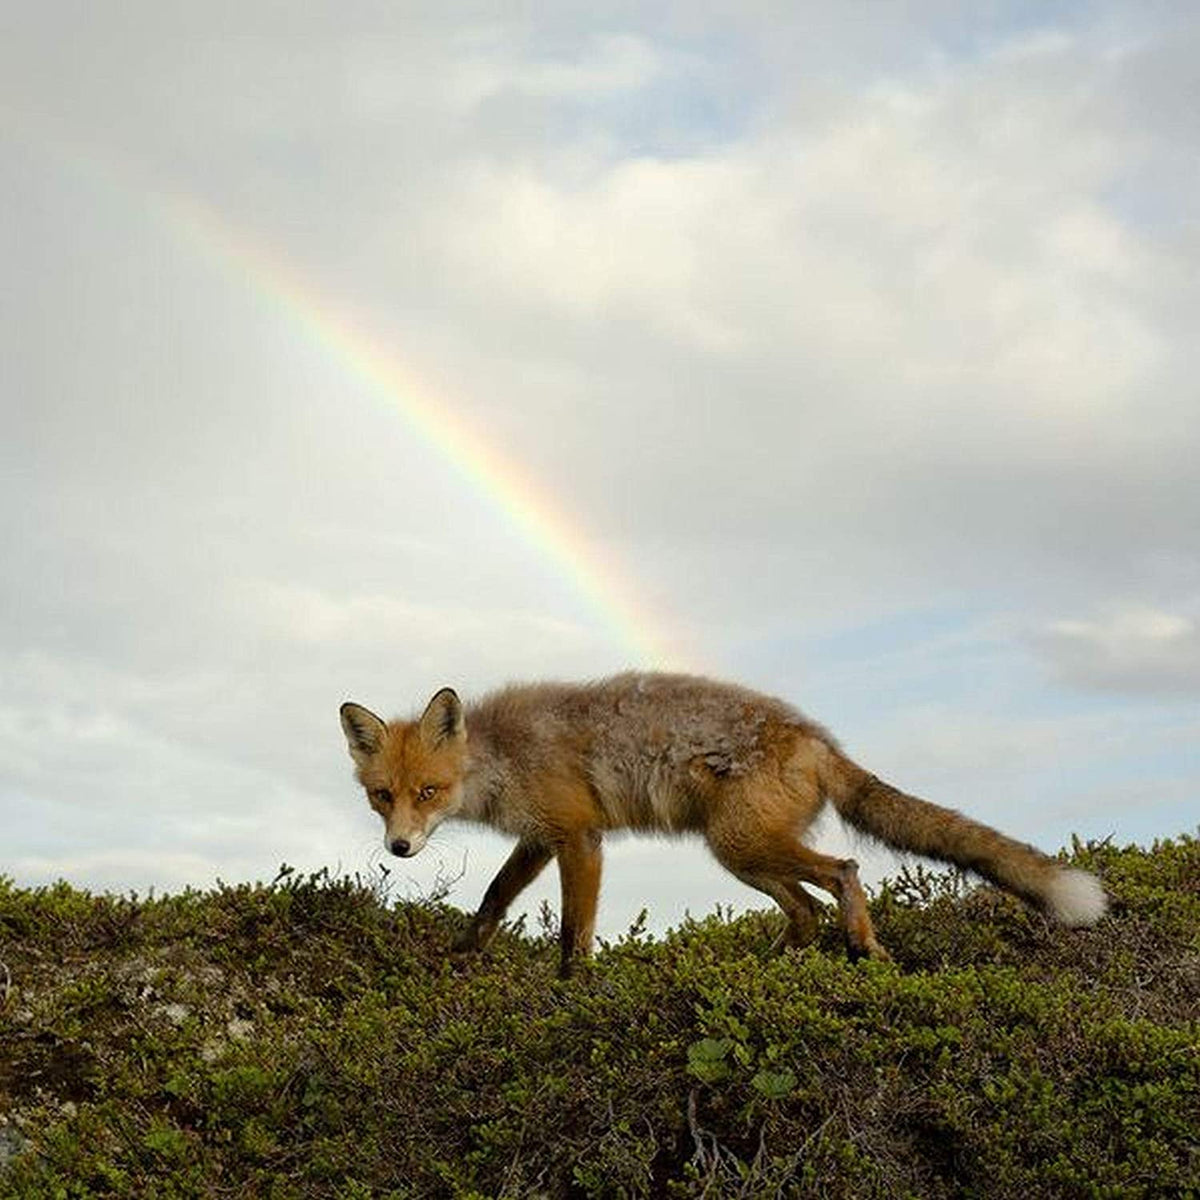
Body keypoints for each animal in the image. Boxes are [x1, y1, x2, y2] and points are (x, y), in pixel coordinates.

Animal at [338, 672, 1104, 979]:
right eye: (382, 796)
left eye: (428, 791)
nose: (400, 848)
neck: (502, 760)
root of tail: (818, 738)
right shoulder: (539, 838)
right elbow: (492, 902)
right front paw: (460, 958)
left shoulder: (579, 837)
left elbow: (573, 935)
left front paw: (571, 990)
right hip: (745, 856)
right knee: (804, 912)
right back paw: (759, 969)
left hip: (740, 845)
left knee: (843, 873)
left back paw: (864, 948)